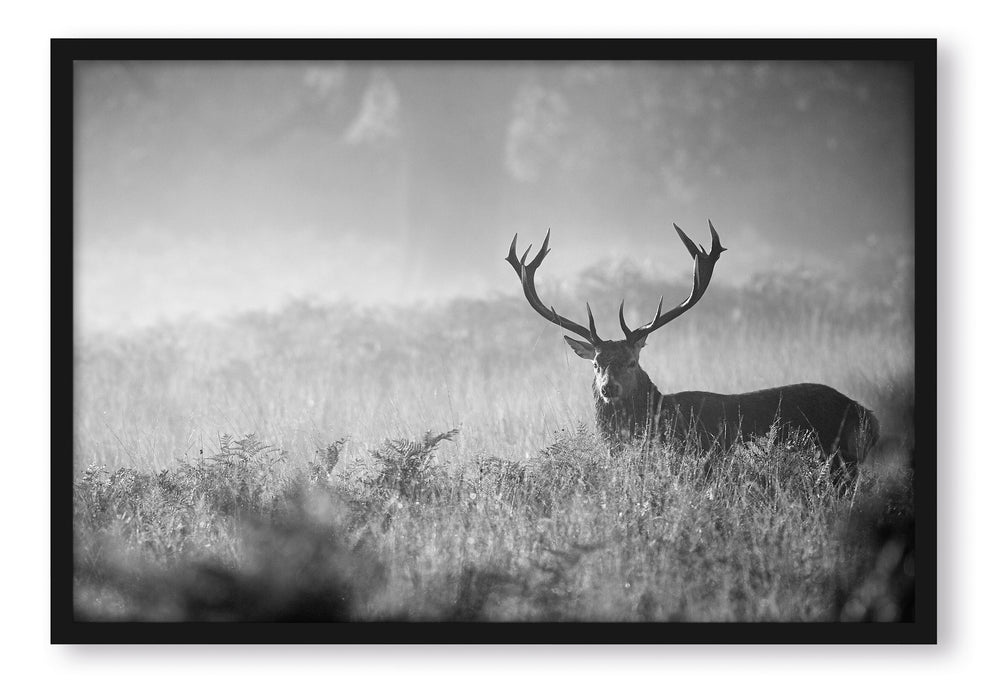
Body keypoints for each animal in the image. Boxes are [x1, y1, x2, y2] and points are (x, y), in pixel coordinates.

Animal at [506, 222, 879, 484]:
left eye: (632, 361)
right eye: (596, 363)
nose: (608, 388)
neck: (661, 418)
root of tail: (868, 415)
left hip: (837, 459)